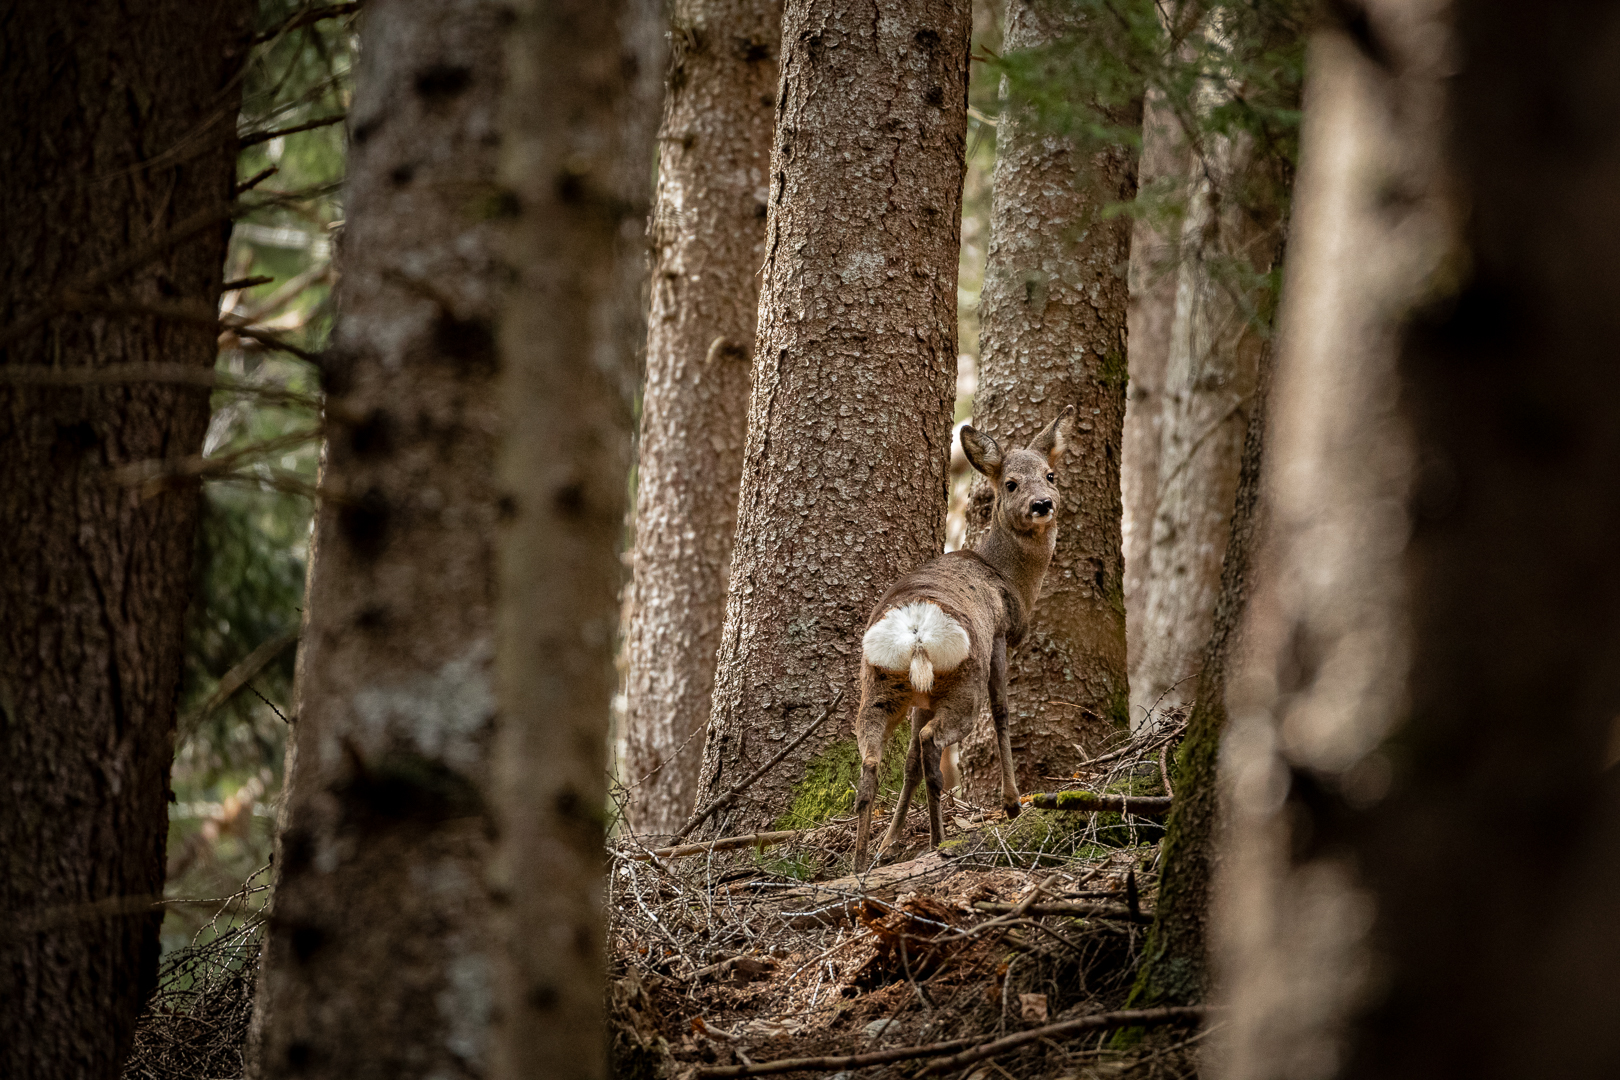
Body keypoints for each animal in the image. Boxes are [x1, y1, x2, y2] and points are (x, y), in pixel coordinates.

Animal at [852, 406, 1075, 871]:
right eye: (1010, 483)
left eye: (1050, 475)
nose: (1042, 504)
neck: (1007, 577)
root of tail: (917, 629)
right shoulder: (1000, 637)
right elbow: (1003, 712)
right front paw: (1012, 803)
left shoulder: (922, 695)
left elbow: (908, 764)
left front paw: (890, 843)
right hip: (962, 680)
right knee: (931, 744)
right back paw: (940, 840)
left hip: (882, 684)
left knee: (876, 759)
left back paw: (861, 862)